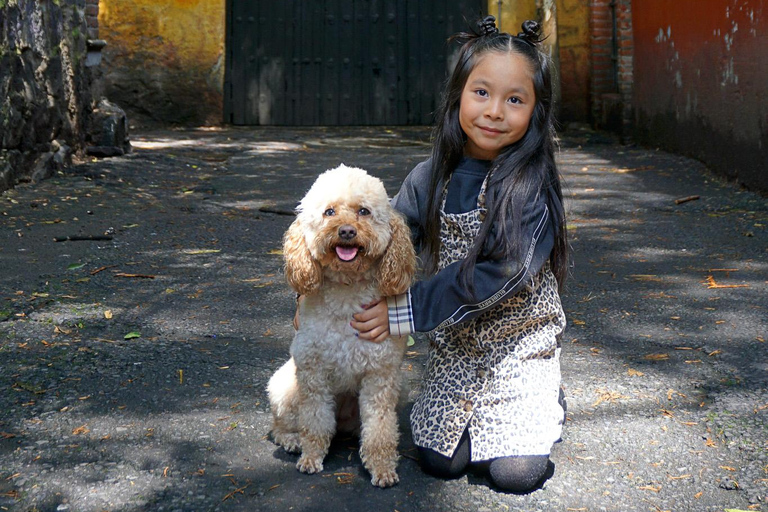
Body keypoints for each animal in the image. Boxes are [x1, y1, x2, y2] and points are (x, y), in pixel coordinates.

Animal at [268, 164, 416, 488]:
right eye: (329, 212)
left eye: (364, 211)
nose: (347, 231)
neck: (348, 288)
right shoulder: (312, 373)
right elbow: (314, 423)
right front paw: (311, 457)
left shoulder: (380, 376)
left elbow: (380, 430)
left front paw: (382, 468)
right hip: (285, 385)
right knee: (280, 425)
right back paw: (291, 440)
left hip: (398, 387)